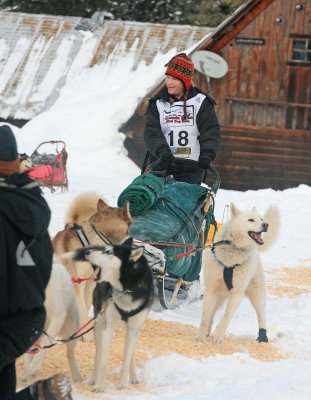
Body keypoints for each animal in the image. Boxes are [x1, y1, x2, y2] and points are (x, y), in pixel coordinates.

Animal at [196, 203, 282, 344]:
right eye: (251, 220)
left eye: (261, 219)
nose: (266, 224)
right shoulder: (211, 289)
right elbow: (205, 316)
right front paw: (201, 336)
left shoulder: (237, 293)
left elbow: (226, 317)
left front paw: (218, 335)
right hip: (219, 296)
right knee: (212, 313)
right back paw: (208, 330)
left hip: (256, 293)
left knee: (261, 314)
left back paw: (263, 336)